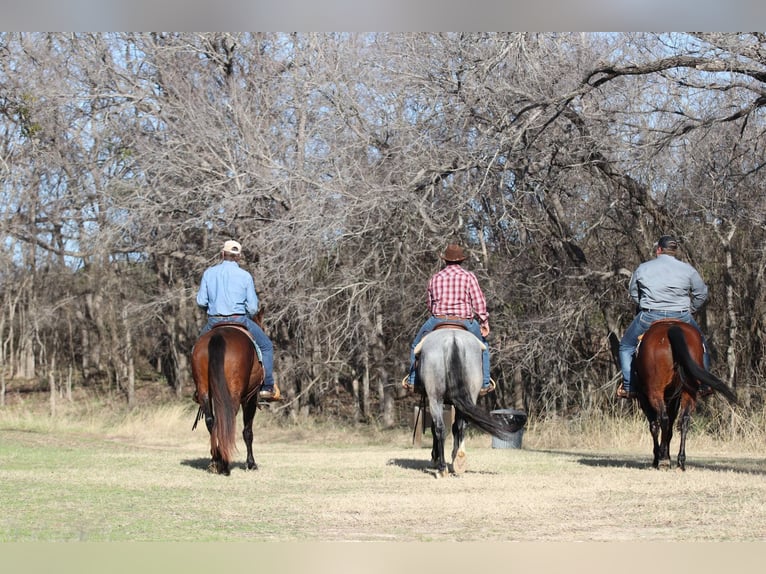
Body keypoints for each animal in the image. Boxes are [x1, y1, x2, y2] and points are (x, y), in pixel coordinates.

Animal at [190, 309, 265, 476]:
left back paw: (216, 460)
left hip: (204, 390)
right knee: (227, 420)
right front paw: (251, 463)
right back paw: (224, 464)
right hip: (235, 395)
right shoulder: (250, 397)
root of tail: (218, 336)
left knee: (211, 421)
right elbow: (248, 432)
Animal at [415, 326, 526, 477]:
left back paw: (442, 467)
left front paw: (435, 457)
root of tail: (453, 340)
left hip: (435, 398)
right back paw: (459, 460)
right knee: (461, 426)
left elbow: (434, 428)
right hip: (469, 395)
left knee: (440, 428)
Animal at [634, 319, 737, 471]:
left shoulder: (644, 397)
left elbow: (654, 426)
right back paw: (680, 461)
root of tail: (672, 329)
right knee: (684, 420)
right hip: (689, 391)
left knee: (663, 419)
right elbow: (670, 429)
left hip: (655, 392)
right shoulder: (673, 398)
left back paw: (663, 460)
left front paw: (659, 458)